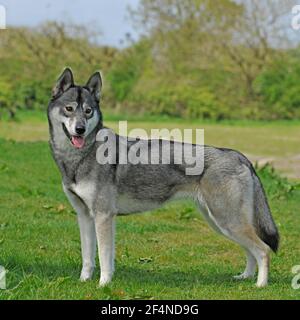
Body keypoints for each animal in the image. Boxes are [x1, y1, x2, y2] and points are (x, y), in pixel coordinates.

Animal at [47, 67, 278, 288]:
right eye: (69, 109)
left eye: (88, 111)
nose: (80, 129)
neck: (80, 156)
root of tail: (240, 156)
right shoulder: (85, 216)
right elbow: (88, 257)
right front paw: (83, 281)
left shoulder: (103, 216)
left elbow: (104, 258)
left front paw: (103, 285)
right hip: (222, 223)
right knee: (250, 251)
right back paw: (245, 277)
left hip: (227, 221)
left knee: (263, 250)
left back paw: (260, 285)